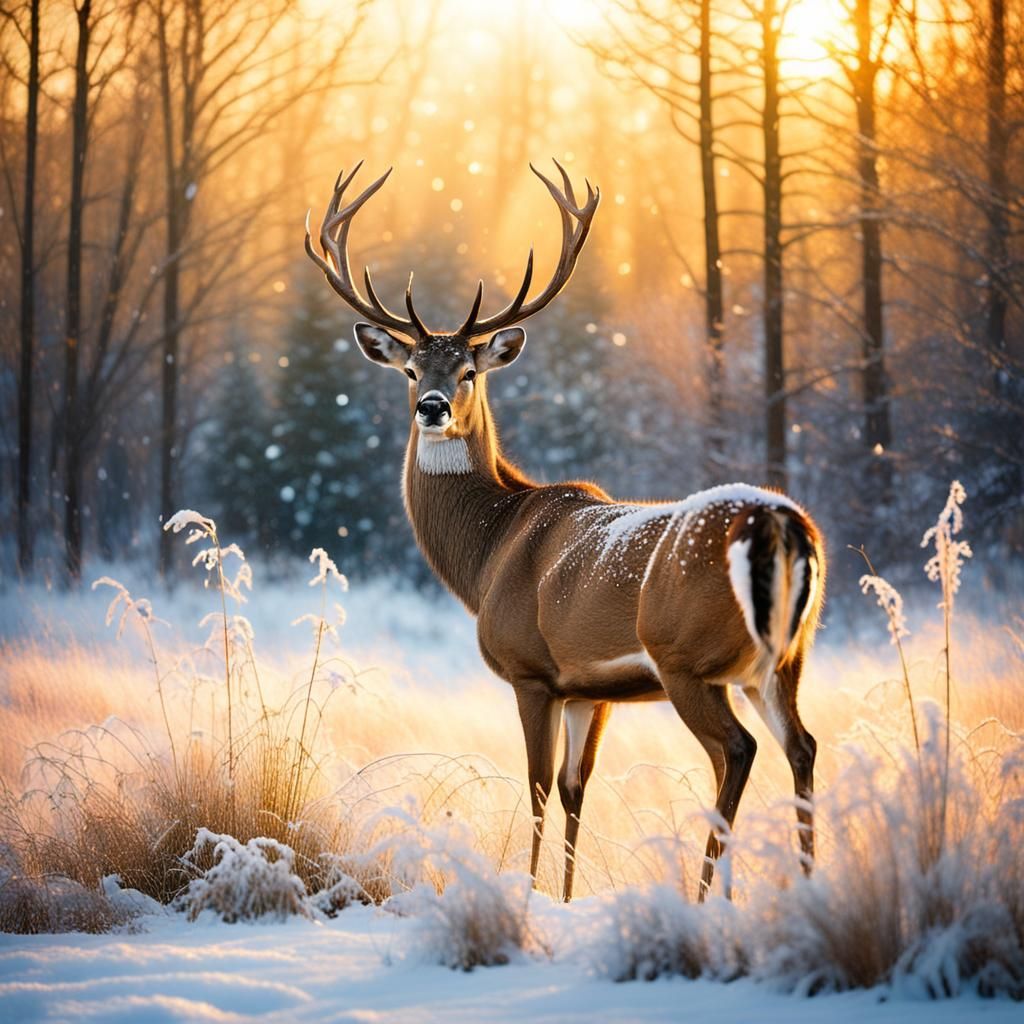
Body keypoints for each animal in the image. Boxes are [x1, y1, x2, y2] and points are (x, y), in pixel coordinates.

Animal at [305, 160, 826, 903]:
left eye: (468, 371)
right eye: (410, 370)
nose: (432, 407)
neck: (490, 551)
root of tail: (779, 520)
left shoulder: (532, 670)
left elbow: (538, 788)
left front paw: (527, 893)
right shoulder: (588, 688)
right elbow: (578, 789)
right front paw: (568, 897)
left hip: (686, 656)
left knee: (739, 750)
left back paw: (705, 896)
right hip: (782, 658)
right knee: (801, 746)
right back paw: (806, 888)